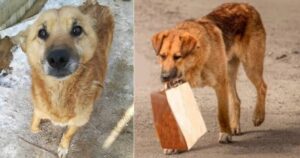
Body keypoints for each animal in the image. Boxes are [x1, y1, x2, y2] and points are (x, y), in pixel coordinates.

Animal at [11, 0, 113, 157]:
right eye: (42, 33)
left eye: (77, 30)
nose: (57, 59)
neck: (60, 91)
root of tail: (97, 4)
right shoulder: (39, 108)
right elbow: (36, 118)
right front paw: (34, 129)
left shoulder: (78, 121)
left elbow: (68, 134)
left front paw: (63, 147)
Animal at [152, 2, 268, 153]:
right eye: (162, 56)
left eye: (178, 57)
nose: (164, 77)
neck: (196, 61)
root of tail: (247, 6)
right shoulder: (174, 90)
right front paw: (173, 145)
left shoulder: (220, 85)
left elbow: (221, 114)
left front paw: (225, 134)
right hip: (229, 73)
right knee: (236, 100)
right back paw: (234, 125)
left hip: (250, 66)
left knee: (262, 87)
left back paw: (258, 116)